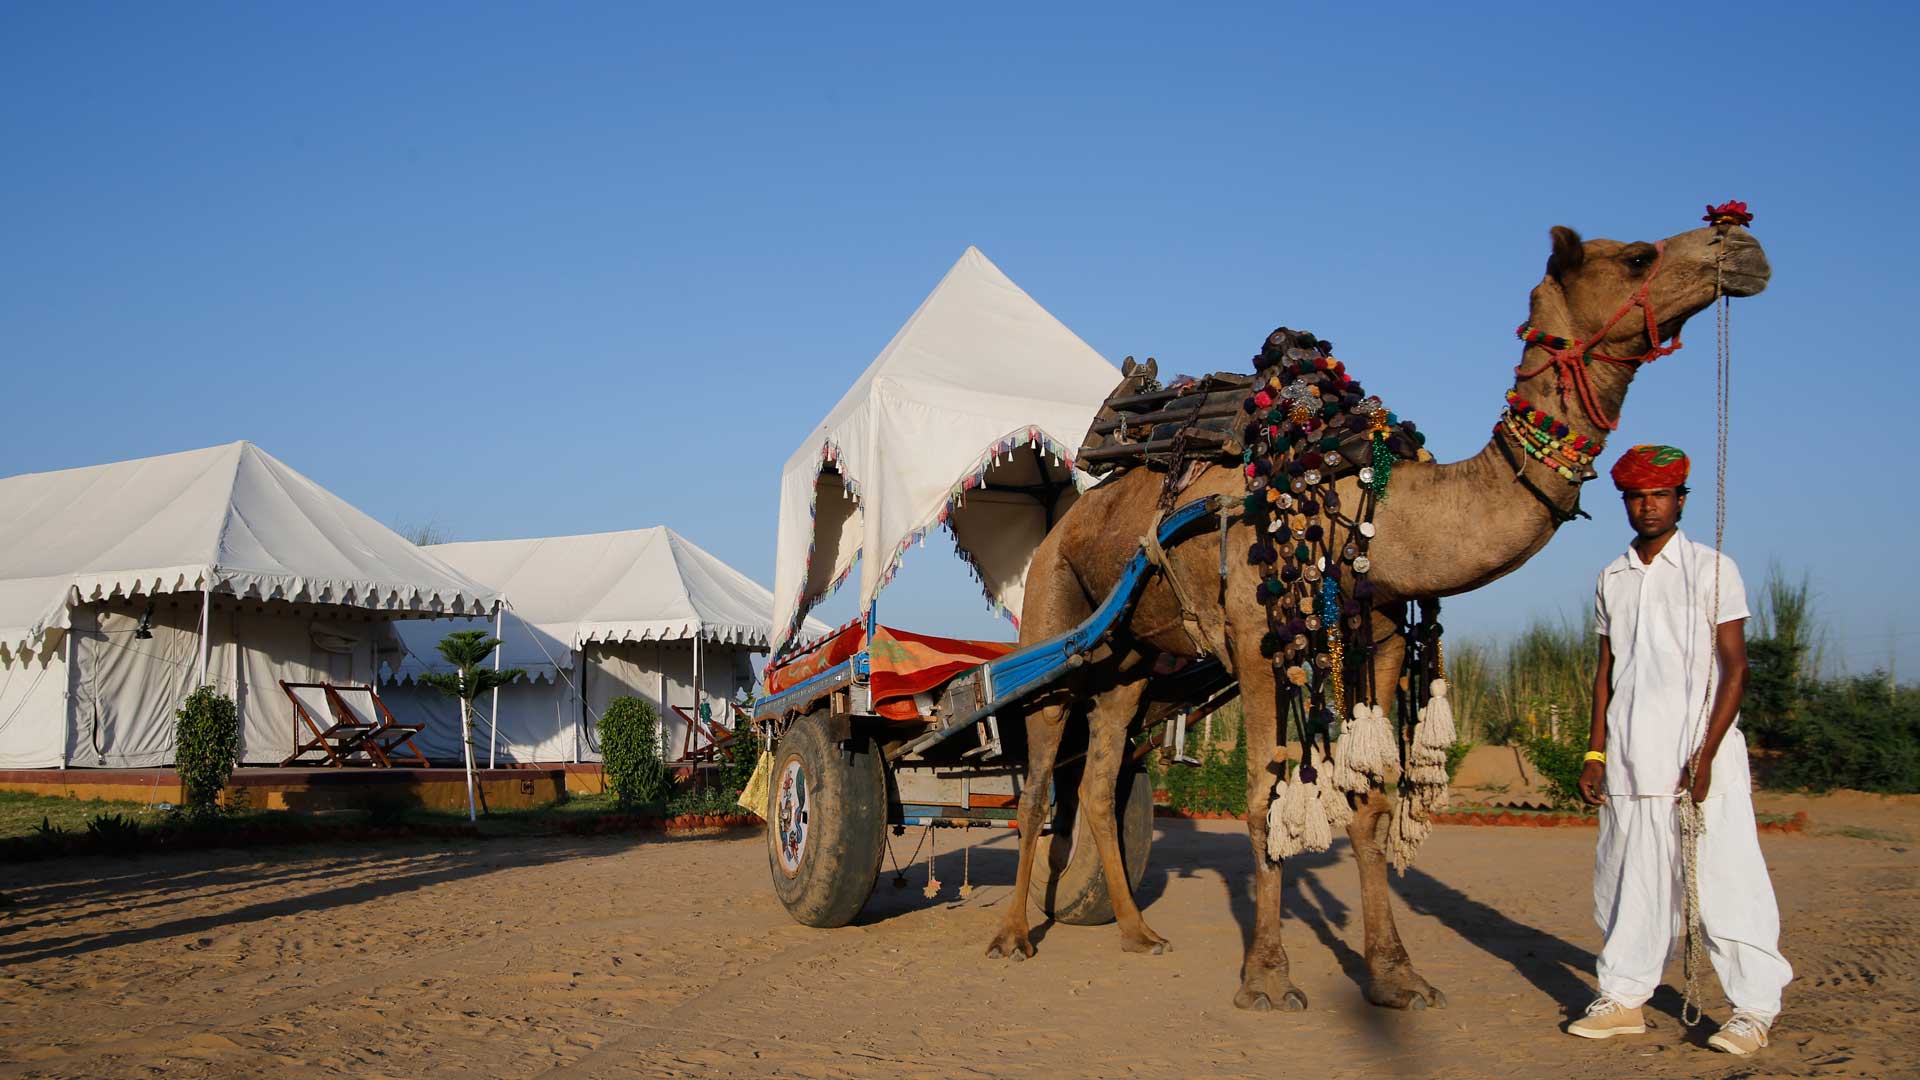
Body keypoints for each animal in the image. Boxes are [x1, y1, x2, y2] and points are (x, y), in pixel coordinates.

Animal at [984, 219, 1772, 1013]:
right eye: (1639, 256)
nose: (1742, 244)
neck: (1369, 505)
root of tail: (1070, 518)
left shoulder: (1382, 640)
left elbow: (1370, 800)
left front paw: (1395, 975)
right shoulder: (1256, 640)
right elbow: (1263, 794)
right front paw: (1267, 977)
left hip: (1131, 660)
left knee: (1097, 775)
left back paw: (1137, 932)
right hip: (1052, 606)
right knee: (1038, 769)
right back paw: (1013, 936)